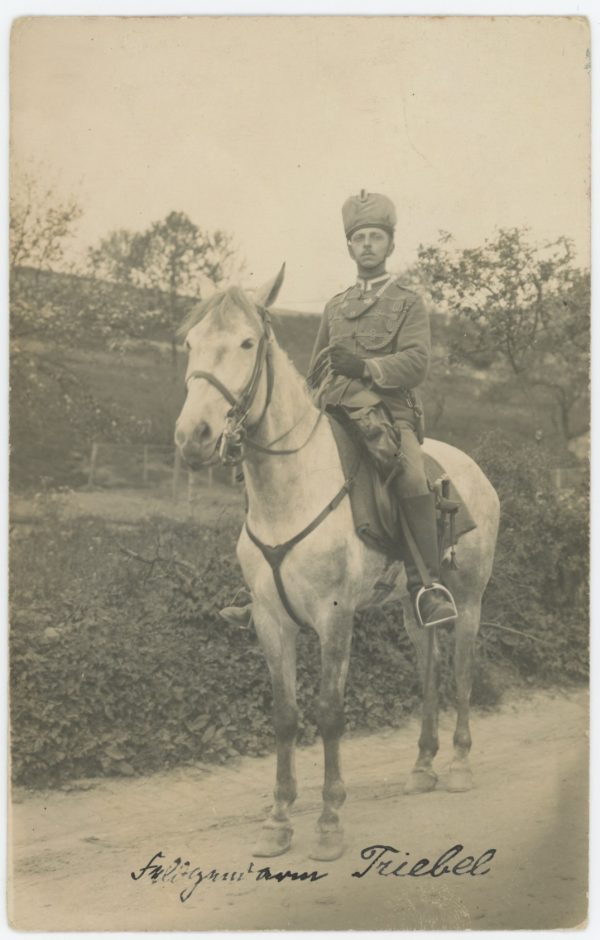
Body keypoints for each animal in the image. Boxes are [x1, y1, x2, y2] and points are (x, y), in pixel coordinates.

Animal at [175, 266, 502, 860]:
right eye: (191, 343)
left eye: (247, 343)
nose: (194, 437)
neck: (290, 491)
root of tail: (472, 471)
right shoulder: (270, 621)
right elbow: (284, 716)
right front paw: (278, 821)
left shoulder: (334, 619)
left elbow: (329, 713)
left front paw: (328, 821)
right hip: (414, 607)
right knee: (428, 669)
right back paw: (422, 765)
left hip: (468, 600)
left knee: (462, 669)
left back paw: (459, 765)